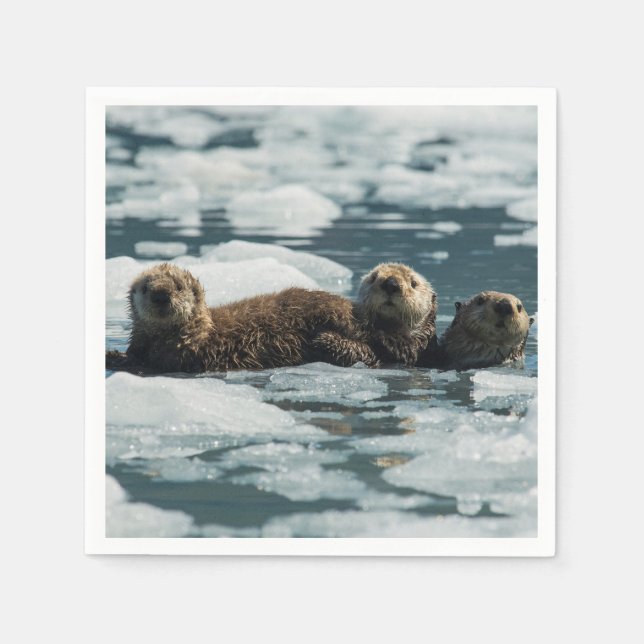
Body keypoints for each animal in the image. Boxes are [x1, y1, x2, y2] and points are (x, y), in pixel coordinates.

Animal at [105, 263, 380, 374]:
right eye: (146, 288)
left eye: (179, 287)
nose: (161, 296)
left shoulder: (180, 356)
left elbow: (148, 363)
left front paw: (114, 356)